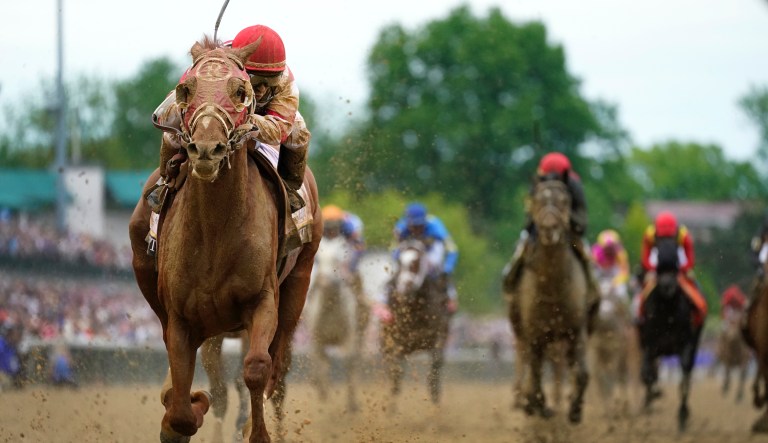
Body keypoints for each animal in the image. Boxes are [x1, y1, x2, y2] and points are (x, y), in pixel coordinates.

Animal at [127, 36, 322, 443]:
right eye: (186, 88)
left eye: (240, 90)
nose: (206, 148)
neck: (214, 233)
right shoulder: (181, 319)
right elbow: (185, 405)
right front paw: (184, 409)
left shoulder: (263, 300)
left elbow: (257, 368)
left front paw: (255, 431)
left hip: (299, 285)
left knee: (278, 371)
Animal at [303, 230, 368, 412]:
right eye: (318, 259)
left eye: (337, 259)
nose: (324, 282)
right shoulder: (318, 340)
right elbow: (322, 365)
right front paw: (324, 397)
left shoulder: (350, 338)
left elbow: (348, 362)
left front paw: (352, 404)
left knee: (356, 362)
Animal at [380, 238, 451, 409]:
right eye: (399, 262)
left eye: (416, 263)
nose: (404, 288)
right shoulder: (397, 342)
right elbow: (396, 374)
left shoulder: (439, 334)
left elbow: (435, 368)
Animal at [507, 178, 590, 423]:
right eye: (537, 201)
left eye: (564, 201)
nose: (548, 229)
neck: (553, 286)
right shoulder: (535, 334)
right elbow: (534, 377)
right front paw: (538, 406)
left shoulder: (576, 331)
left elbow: (582, 374)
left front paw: (575, 410)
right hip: (524, 333)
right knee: (527, 365)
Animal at [638, 263, 704, 432]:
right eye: (660, 271)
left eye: (674, 271)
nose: (667, 285)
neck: (667, 312)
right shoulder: (650, 346)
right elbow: (646, 374)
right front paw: (652, 397)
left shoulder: (686, 344)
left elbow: (684, 379)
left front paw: (683, 416)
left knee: (687, 375)